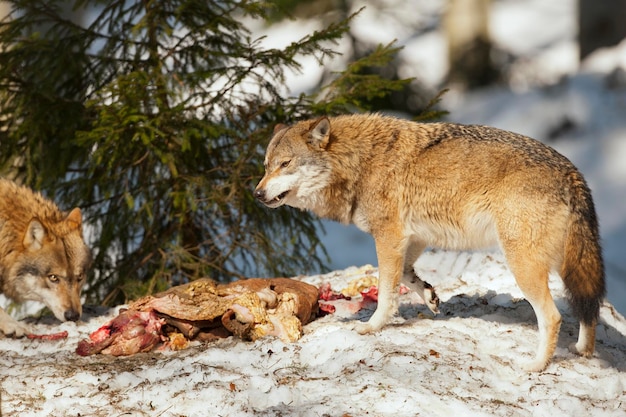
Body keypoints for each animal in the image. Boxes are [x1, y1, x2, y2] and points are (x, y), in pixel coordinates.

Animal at [254, 113, 604, 370]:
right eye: (266, 166)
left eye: (285, 164)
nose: (257, 194)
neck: (358, 163)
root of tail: (572, 173)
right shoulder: (415, 237)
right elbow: (408, 276)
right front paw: (431, 297)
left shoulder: (389, 236)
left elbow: (385, 291)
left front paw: (372, 327)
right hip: (566, 266)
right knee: (589, 307)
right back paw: (583, 351)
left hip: (523, 265)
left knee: (554, 317)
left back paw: (536, 365)